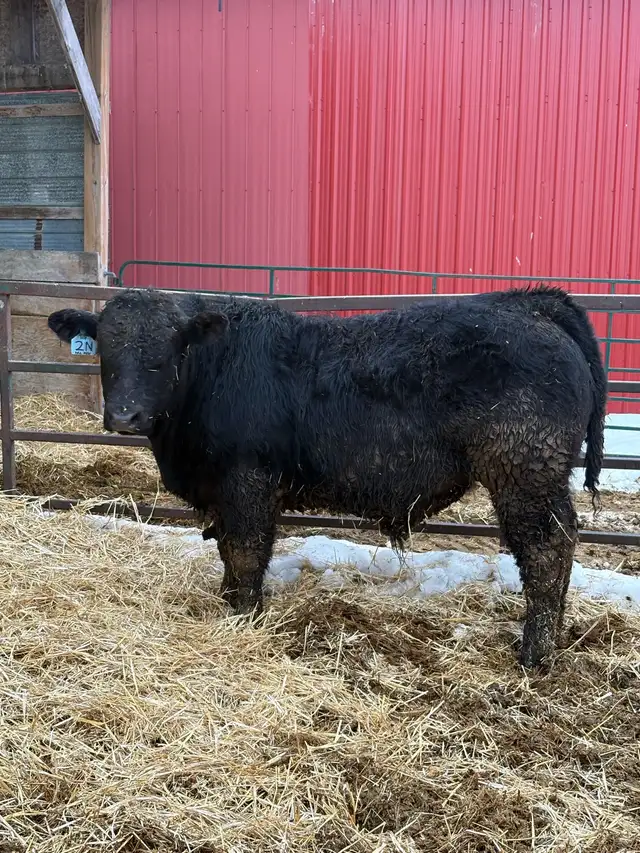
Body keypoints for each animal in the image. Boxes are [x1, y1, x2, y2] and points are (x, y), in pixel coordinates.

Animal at [48, 285, 606, 668]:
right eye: (105, 349)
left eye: (165, 353)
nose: (125, 416)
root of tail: (529, 304)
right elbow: (228, 550)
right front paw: (229, 603)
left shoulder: (248, 483)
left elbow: (246, 553)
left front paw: (243, 617)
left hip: (525, 472)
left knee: (548, 549)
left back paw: (536, 654)